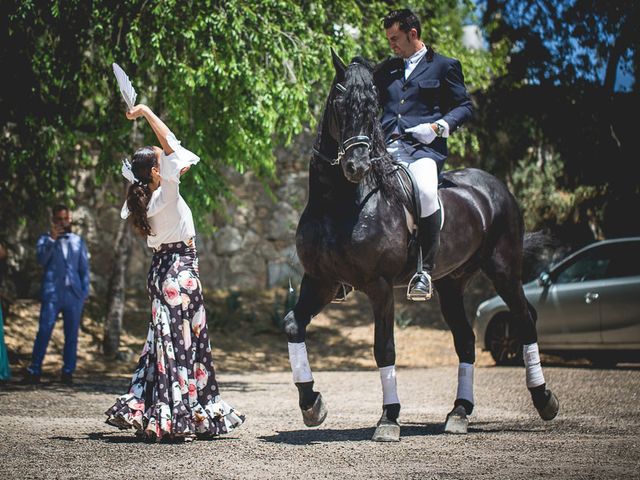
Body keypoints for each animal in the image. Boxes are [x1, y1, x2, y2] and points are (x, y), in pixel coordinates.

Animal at [282, 50, 556, 440]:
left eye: (373, 106)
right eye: (339, 104)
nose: (356, 165)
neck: (338, 203)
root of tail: (492, 185)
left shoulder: (379, 286)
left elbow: (384, 349)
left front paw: (388, 419)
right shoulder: (321, 281)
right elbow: (293, 324)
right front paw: (311, 404)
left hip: (503, 269)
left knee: (524, 319)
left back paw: (544, 399)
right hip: (451, 283)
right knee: (466, 340)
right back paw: (459, 412)